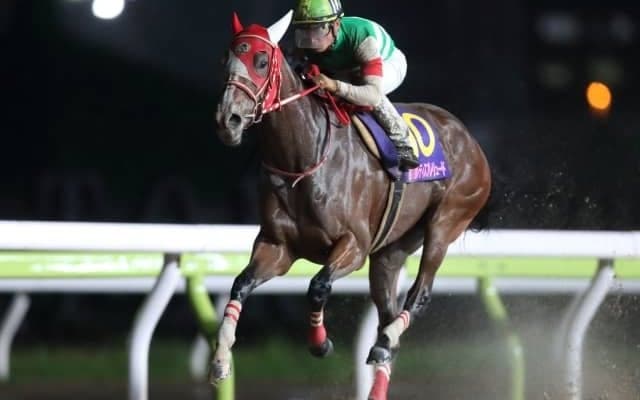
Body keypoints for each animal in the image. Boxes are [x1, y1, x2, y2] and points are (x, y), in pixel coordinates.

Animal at [212, 10, 491, 400]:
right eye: (226, 58)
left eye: (261, 60)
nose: (229, 120)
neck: (302, 157)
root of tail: (469, 139)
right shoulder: (277, 247)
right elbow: (239, 285)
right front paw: (220, 360)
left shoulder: (354, 246)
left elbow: (318, 287)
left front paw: (320, 343)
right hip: (390, 252)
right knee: (388, 314)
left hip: (447, 221)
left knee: (418, 296)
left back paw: (385, 341)